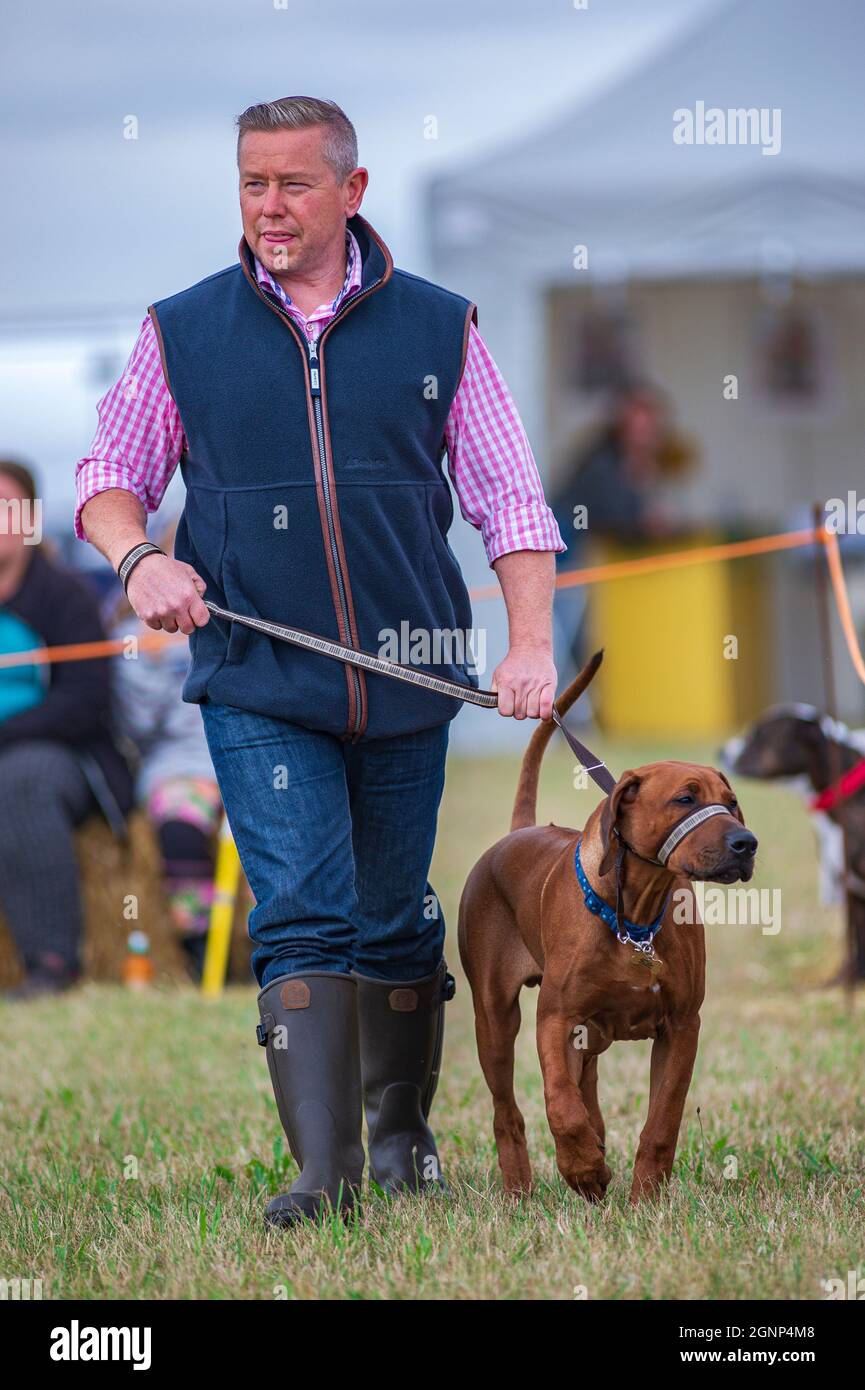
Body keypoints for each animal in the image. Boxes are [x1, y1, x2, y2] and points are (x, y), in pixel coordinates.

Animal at [461, 653, 756, 1206]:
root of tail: (517, 832)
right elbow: (559, 1102)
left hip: (590, 1033)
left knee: (588, 1085)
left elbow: (662, 1120)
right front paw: (582, 1169)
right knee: (508, 1110)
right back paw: (520, 1189)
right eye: (685, 800)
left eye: (730, 802)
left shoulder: (682, 1025)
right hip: (495, 1017)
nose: (746, 844)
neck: (633, 917)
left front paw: (645, 1197)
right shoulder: (555, 1018)